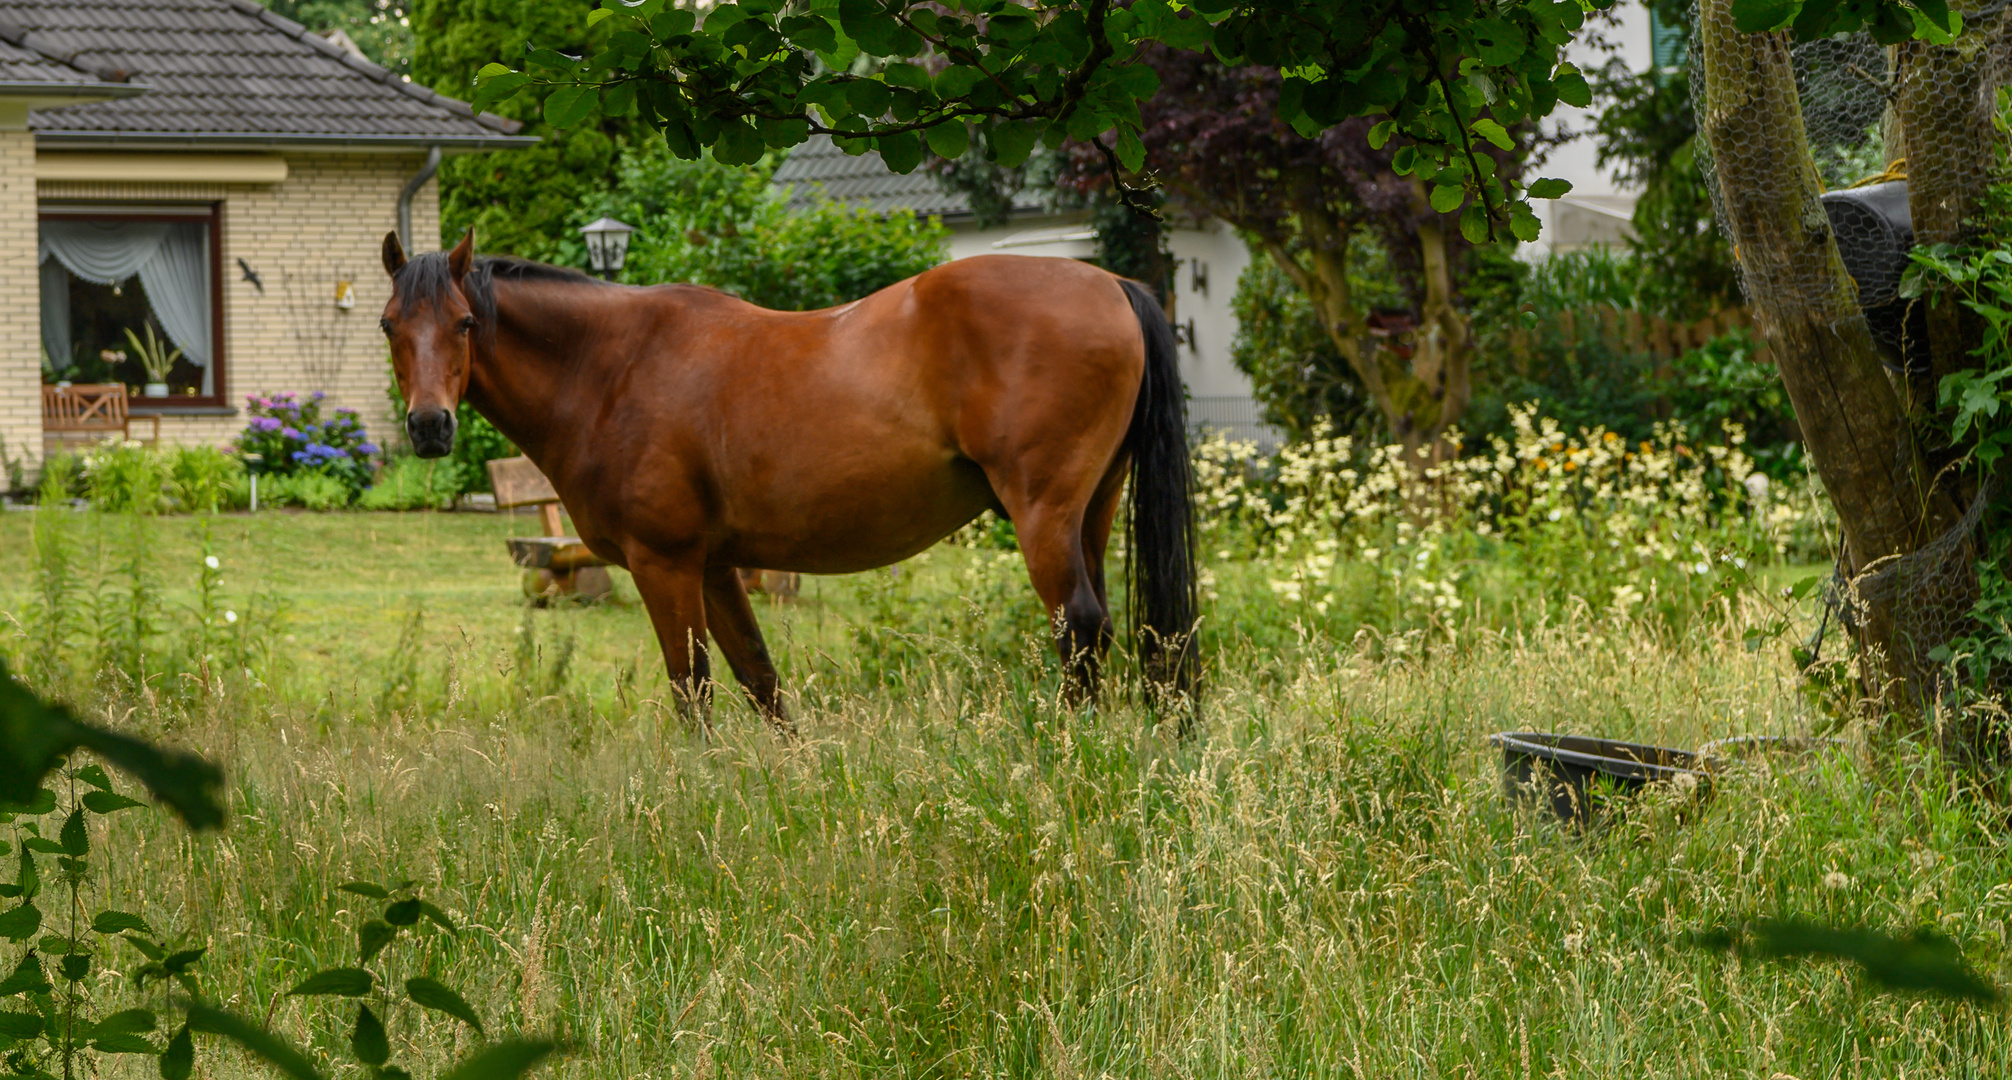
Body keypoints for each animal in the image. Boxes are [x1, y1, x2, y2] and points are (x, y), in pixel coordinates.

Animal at [378, 231, 1191, 728]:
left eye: (463, 324)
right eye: (390, 324)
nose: (429, 426)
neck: (612, 367)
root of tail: (1113, 285)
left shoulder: (664, 564)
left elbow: (693, 686)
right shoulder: (714, 566)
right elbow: (760, 678)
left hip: (1043, 513)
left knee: (1079, 627)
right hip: (1090, 512)